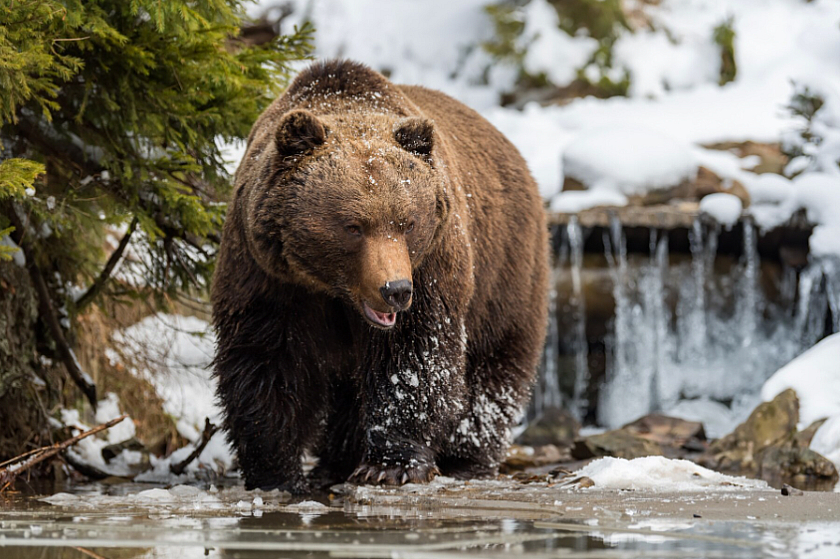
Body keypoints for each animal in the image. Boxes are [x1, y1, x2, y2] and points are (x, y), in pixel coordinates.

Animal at [212, 59, 548, 493]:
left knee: (494, 365)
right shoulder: (267, 273)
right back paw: (335, 461)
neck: (332, 289)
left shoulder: (432, 266)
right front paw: (276, 472)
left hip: (506, 269)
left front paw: (392, 465)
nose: (395, 290)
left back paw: (467, 459)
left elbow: (412, 359)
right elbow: (267, 359)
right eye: (353, 226)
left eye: (408, 222)